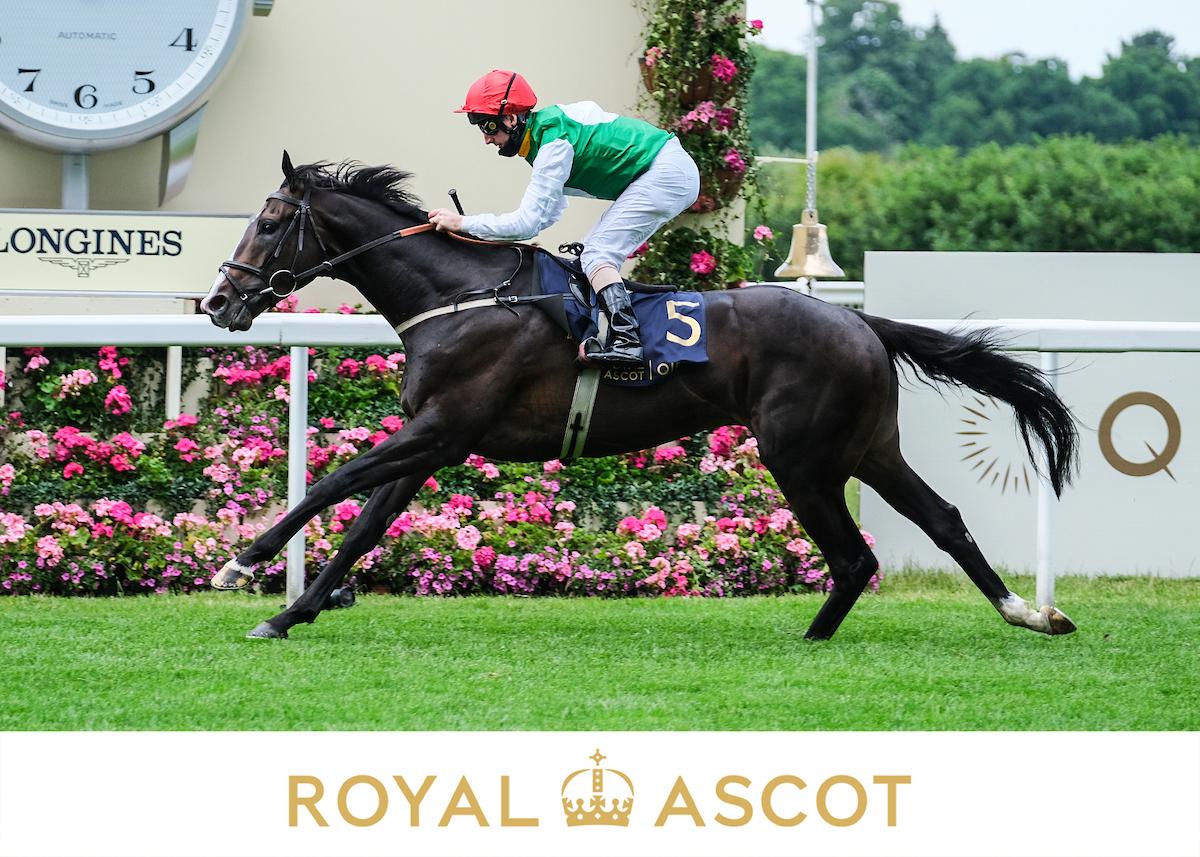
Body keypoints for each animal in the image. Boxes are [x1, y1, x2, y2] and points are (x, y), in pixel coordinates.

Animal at [200, 152, 1080, 641]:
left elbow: (336, 482)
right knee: (941, 521)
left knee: (854, 554)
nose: (219, 301)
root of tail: (860, 320)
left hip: (801, 456)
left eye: (270, 223)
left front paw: (241, 565)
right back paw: (1029, 613)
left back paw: (817, 637)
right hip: (867, 446)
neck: (461, 296)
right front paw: (292, 611)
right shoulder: (437, 438)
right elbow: (364, 524)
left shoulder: (443, 427)